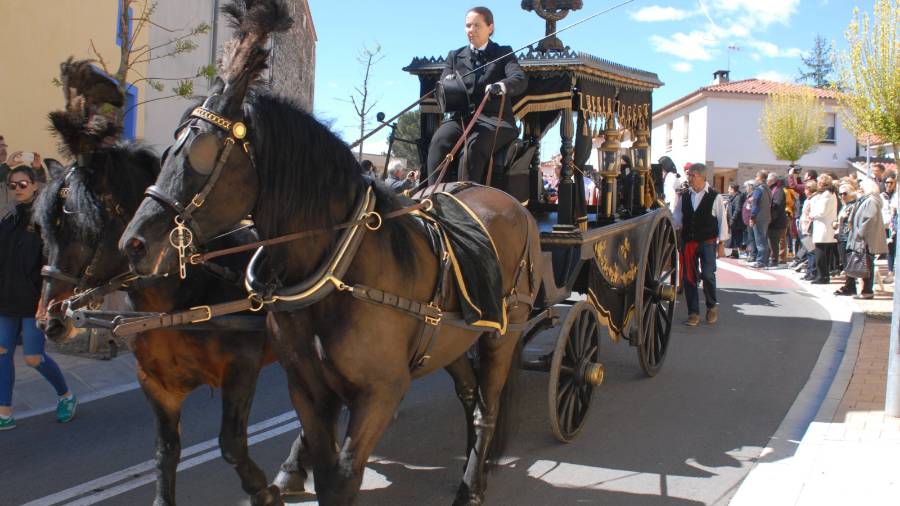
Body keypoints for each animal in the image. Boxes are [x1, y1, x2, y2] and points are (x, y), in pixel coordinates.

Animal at [119, 1, 540, 504]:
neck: (340, 265)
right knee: (470, 397)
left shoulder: (381, 392)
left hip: (503, 335)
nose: (134, 243)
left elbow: (343, 477)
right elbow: (324, 472)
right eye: (169, 149)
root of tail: (508, 200)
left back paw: (470, 487)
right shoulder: (307, 389)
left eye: (202, 151)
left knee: (486, 409)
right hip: (452, 339)